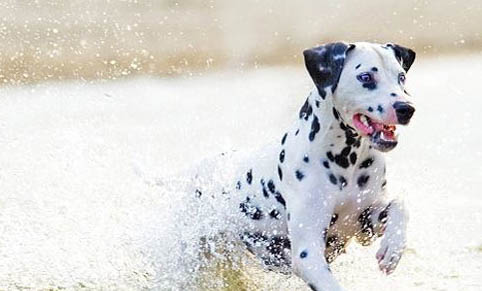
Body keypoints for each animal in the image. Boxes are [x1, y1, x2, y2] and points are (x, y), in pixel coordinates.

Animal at [192, 42, 414, 290]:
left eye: (401, 77)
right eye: (365, 77)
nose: (406, 108)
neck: (346, 161)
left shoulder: (365, 223)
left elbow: (399, 206)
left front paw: (392, 249)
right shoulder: (308, 254)